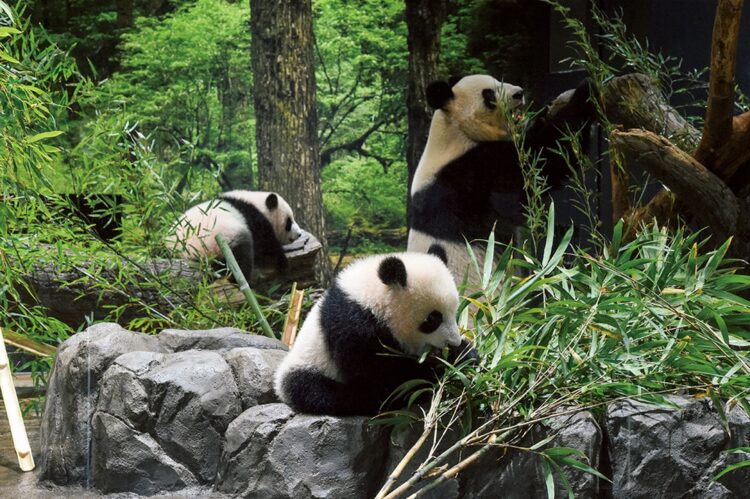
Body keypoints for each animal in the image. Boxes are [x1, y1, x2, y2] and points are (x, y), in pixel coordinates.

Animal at [167, 189, 302, 280]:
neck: (255, 202)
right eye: (289, 222)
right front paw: (283, 262)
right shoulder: (252, 218)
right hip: (223, 239)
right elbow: (265, 244)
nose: (299, 234)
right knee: (240, 256)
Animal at [274, 244, 476, 416]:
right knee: (319, 391)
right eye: (433, 319)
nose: (453, 342)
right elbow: (380, 375)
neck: (371, 297)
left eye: (454, 311)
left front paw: (462, 353)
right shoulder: (353, 326)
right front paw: (437, 369)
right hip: (308, 368)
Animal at [408, 74, 596, 286]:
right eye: (489, 94)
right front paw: (586, 92)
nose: (519, 93)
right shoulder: (466, 178)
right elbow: (539, 164)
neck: (455, 132)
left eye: (499, 81)